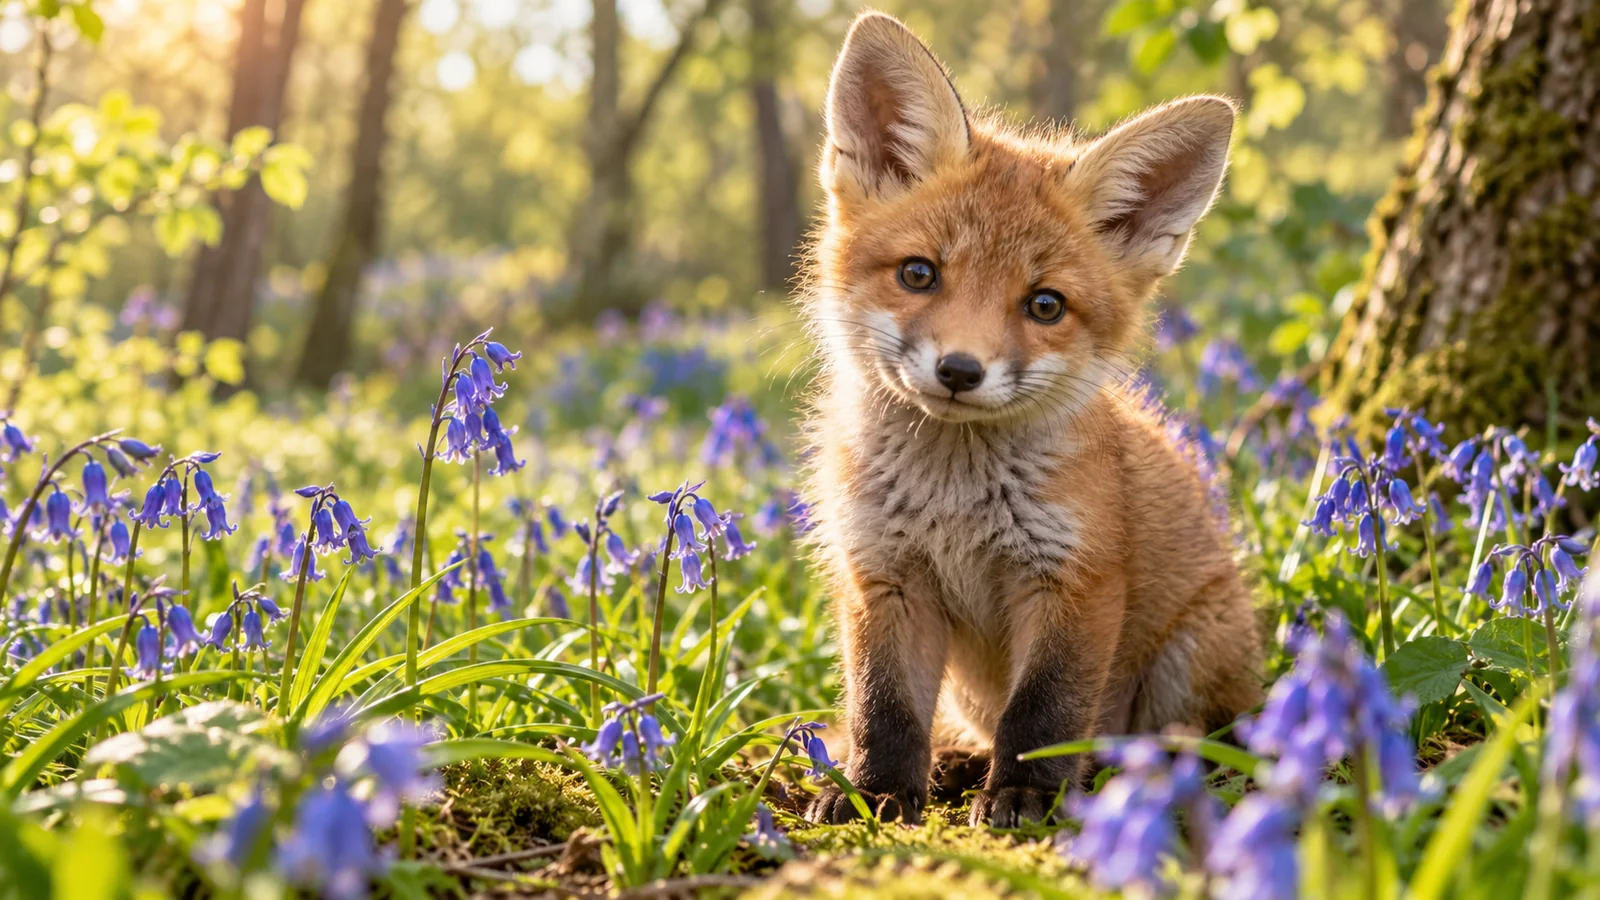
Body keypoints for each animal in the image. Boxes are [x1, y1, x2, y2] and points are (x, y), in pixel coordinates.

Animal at [798, 12, 1263, 828]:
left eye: (1045, 305)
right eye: (919, 273)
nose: (960, 370)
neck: (953, 499)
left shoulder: (1074, 580)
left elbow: (1044, 714)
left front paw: (1026, 797)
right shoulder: (884, 576)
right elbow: (882, 707)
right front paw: (877, 792)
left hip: (1188, 662)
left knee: (1192, 735)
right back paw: (952, 759)